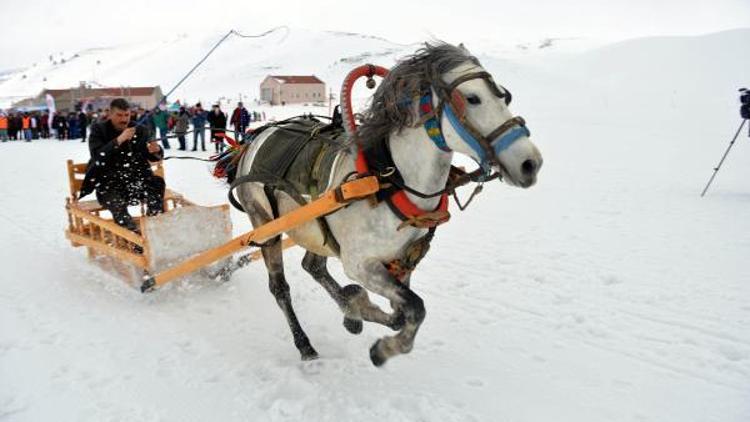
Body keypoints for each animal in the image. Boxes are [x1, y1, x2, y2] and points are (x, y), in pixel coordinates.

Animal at [234, 42, 540, 366]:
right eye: (472, 98)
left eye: (505, 95)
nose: (530, 163)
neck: (388, 180)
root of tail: (256, 138)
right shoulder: (359, 264)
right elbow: (415, 308)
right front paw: (383, 348)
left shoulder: (404, 262)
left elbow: (400, 315)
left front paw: (355, 310)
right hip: (265, 225)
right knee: (279, 287)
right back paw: (304, 344)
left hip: (314, 230)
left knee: (313, 266)